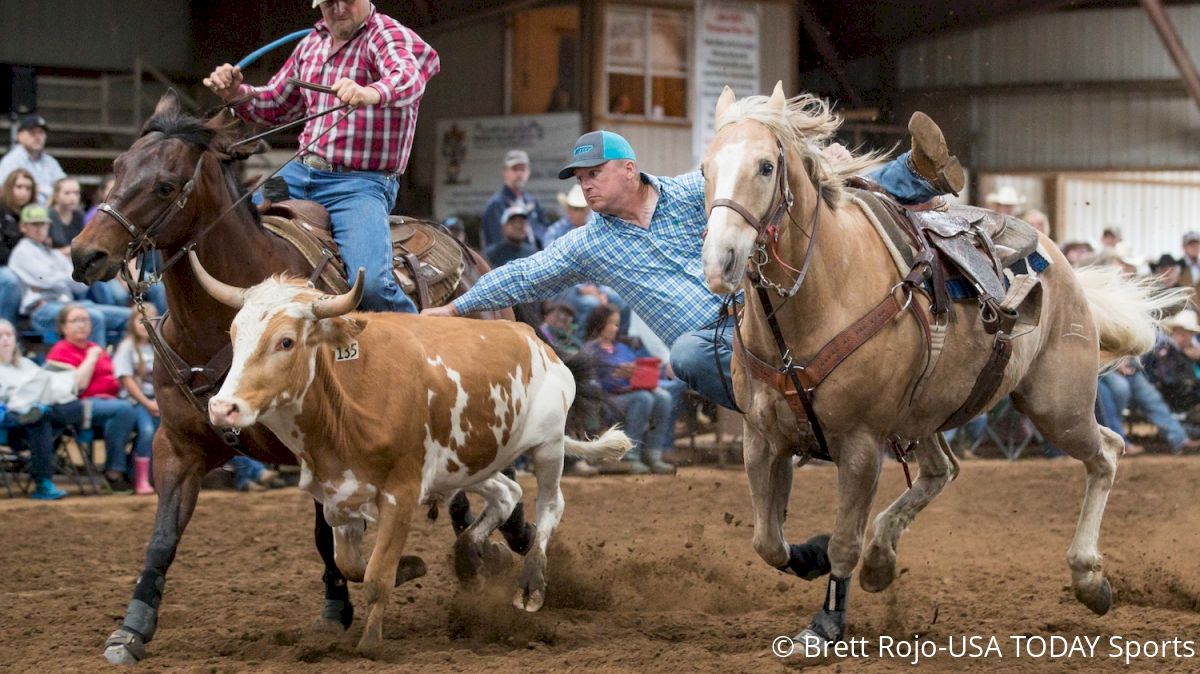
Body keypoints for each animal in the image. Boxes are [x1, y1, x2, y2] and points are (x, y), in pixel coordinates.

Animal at [69, 90, 511, 662]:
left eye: (165, 184)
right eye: (118, 167)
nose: (86, 255)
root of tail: (474, 256)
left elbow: (332, 541)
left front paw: (346, 604)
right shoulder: (178, 447)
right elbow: (163, 537)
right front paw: (132, 628)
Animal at [700, 83, 1185, 647]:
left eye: (764, 167)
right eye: (706, 168)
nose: (721, 261)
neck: (820, 296)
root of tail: (1065, 268)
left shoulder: (860, 444)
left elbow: (844, 541)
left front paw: (825, 624)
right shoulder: (760, 437)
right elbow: (768, 541)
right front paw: (813, 555)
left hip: (1056, 405)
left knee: (1106, 452)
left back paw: (1089, 579)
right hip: (926, 413)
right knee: (941, 470)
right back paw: (882, 560)